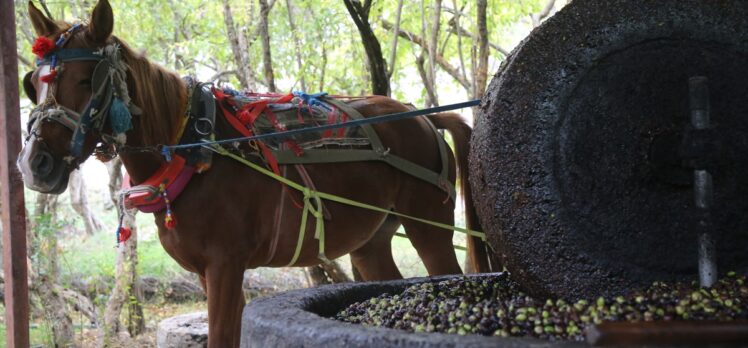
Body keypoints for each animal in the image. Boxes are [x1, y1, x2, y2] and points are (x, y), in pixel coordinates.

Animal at [19, 1, 490, 346]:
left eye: (86, 80)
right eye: (33, 82)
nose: (34, 164)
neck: (192, 149)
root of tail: (424, 117)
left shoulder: (226, 265)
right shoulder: (207, 272)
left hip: (428, 226)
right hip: (371, 242)